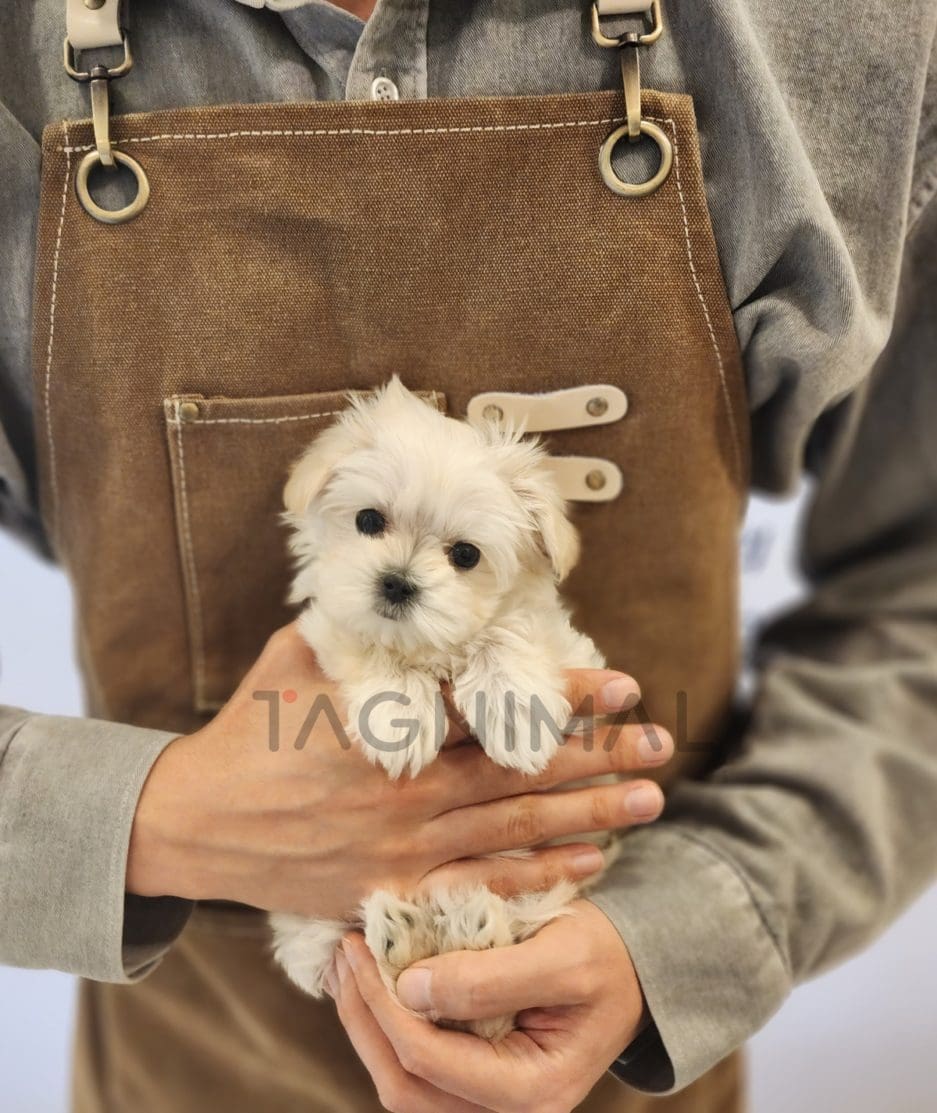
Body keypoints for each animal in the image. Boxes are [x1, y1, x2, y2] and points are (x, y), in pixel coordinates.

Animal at [267, 378, 609, 1037]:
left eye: (466, 556)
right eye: (368, 520)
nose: (397, 582)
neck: (430, 649)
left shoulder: (567, 651)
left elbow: (508, 631)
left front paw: (516, 710)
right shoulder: (327, 626)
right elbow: (364, 642)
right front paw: (400, 715)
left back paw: (470, 928)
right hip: (312, 925)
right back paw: (407, 935)